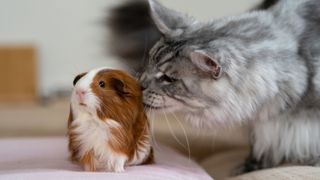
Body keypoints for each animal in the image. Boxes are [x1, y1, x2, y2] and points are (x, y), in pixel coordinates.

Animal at [107, 0, 320, 174]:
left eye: (168, 78)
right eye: (149, 61)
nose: (139, 85)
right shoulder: (264, 124)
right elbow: (265, 143)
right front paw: (250, 166)